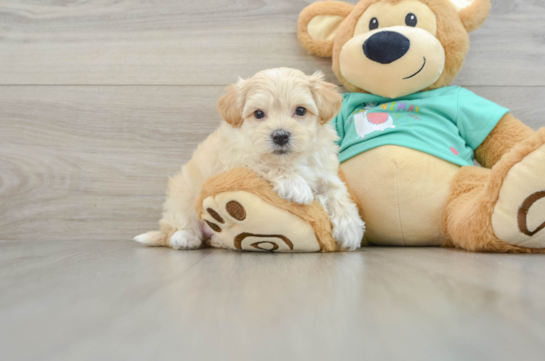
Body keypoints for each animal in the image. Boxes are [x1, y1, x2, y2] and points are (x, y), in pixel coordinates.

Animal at [135, 67, 366, 250]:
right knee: (180, 221)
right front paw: (295, 184)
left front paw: (351, 228)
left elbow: (338, 194)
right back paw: (185, 237)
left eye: (300, 110)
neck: (290, 160)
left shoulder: (325, 172)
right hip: (183, 192)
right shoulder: (236, 160)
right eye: (259, 114)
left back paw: (217, 241)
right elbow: (263, 163)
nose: (280, 136)